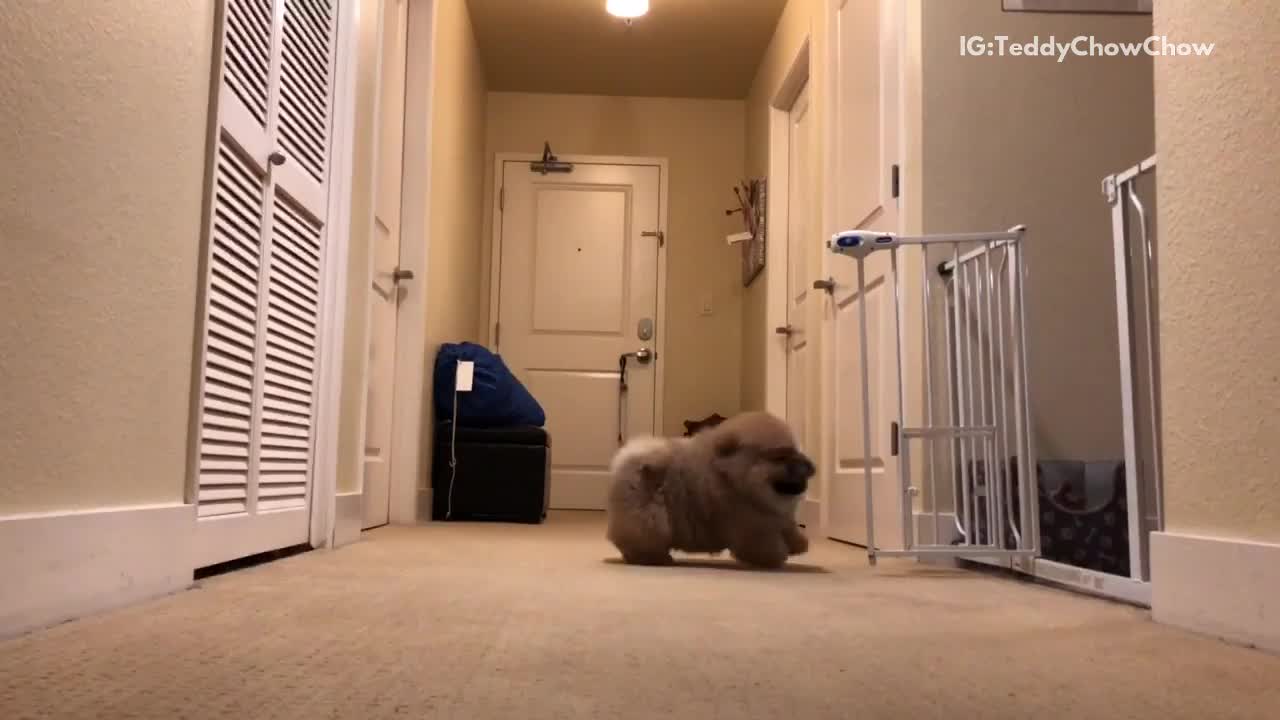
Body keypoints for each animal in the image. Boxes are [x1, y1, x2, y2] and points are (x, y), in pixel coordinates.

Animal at [604, 409, 814, 566]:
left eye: (796, 452)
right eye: (780, 457)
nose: (810, 465)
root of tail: (627, 458)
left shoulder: (776, 516)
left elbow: (789, 528)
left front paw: (800, 544)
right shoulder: (751, 526)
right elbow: (766, 545)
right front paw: (778, 556)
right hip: (649, 519)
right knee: (639, 538)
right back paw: (655, 558)